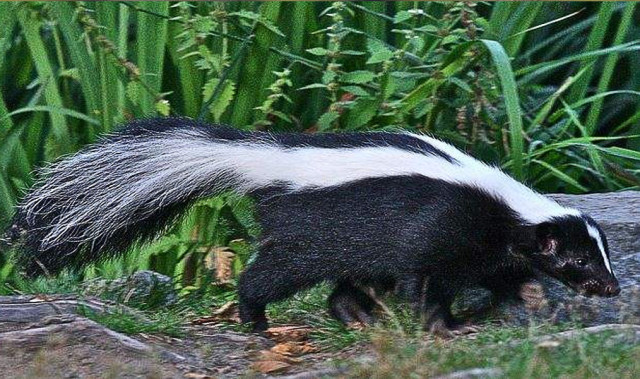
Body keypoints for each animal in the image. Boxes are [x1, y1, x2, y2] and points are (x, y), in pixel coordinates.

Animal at [6, 119, 620, 336]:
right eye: (579, 260)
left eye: (602, 256)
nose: (611, 287)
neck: (509, 208)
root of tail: (265, 161)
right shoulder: (440, 227)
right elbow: (426, 282)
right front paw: (442, 326)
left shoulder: (488, 246)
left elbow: (500, 276)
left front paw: (524, 300)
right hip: (308, 236)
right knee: (268, 276)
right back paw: (256, 321)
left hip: (349, 244)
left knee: (342, 286)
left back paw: (357, 317)